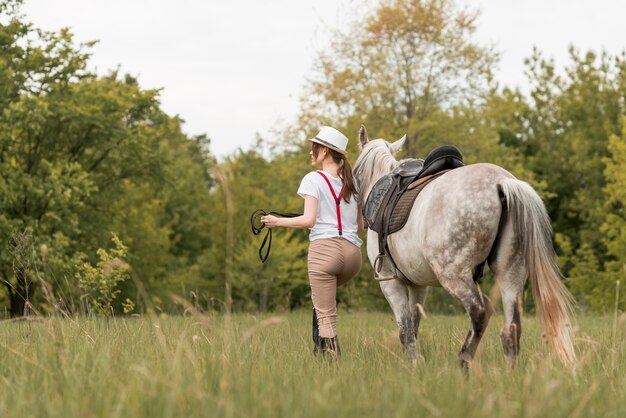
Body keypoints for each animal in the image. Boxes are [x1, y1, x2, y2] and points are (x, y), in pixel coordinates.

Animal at [354, 125, 572, 368]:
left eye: (355, 173)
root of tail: (501, 183)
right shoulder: (419, 285)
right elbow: (414, 325)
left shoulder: (390, 282)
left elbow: (405, 330)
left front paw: (414, 364)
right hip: (511, 272)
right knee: (512, 329)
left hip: (454, 274)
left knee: (479, 312)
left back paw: (464, 361)